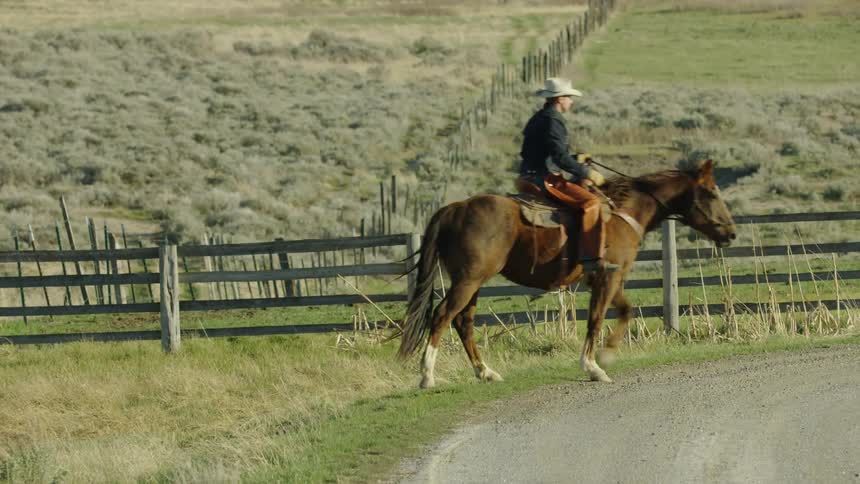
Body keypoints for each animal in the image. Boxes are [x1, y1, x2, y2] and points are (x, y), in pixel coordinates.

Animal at [397, 159, 736, 388]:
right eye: (710, 193)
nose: (730, 233)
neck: (623, 213)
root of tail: (455, 208)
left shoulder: (610, 279)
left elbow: (626, 311)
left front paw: (607, 354)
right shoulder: (607, 278)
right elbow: (596, 319)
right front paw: (594, 366)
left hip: (473, 283)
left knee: (463, 323)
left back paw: (485, 372)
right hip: (468, 280)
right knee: (442, 316)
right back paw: (427, 376)